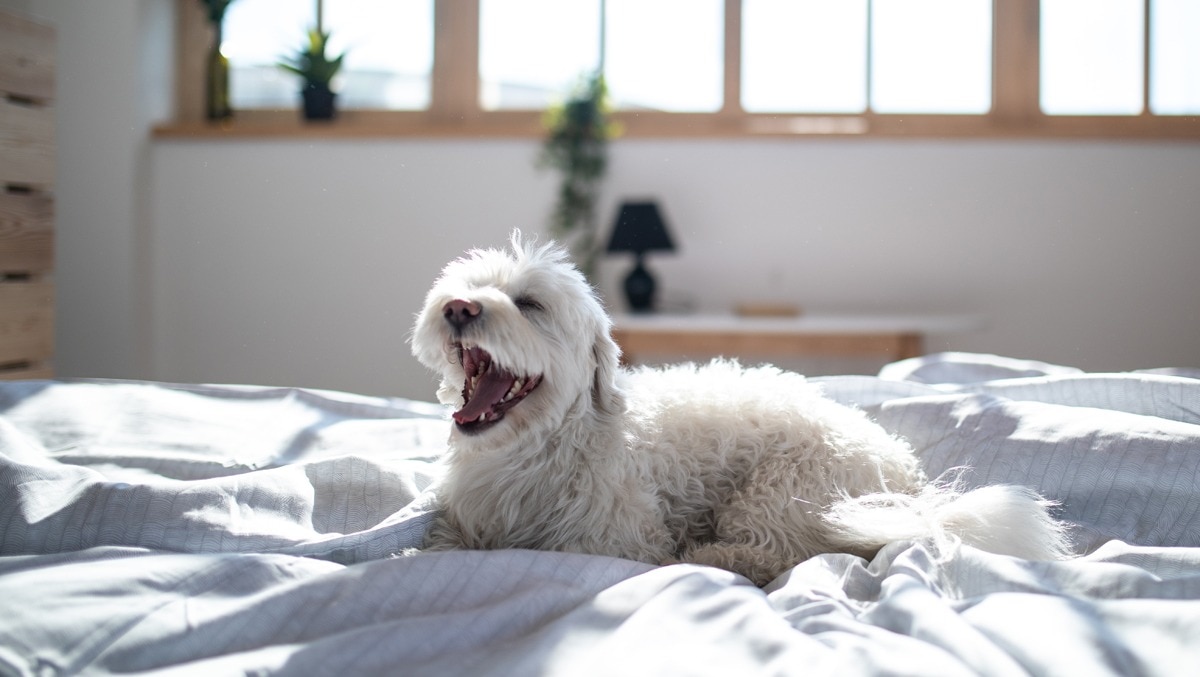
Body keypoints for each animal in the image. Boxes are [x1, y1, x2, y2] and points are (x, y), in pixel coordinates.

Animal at [412, 234, 1070, 588]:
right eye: (465, 287)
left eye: (529, 304)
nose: (459, 307)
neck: (537, 449)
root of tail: (910, 482)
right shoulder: (462, 522)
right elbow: (439, 546)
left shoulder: (616, 540)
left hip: (781, 490)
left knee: (784, 554)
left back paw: (710, 557)